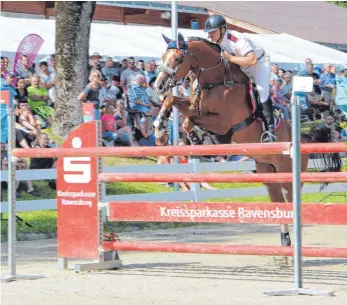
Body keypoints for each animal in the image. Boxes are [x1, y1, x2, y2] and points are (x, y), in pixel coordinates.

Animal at [153, 33, 342, 247]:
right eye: (163, 56)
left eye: (177, 58)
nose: (158, 85)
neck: (216, 81)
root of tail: (302, 137)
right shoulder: (194, 107)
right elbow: (174, 103)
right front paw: (160, 130)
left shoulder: (222, 124)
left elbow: (189, 120)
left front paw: (196, 138)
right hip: (268, 173)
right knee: (278, 201)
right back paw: (285, 239)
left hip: (287, 175)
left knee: (291, 201)